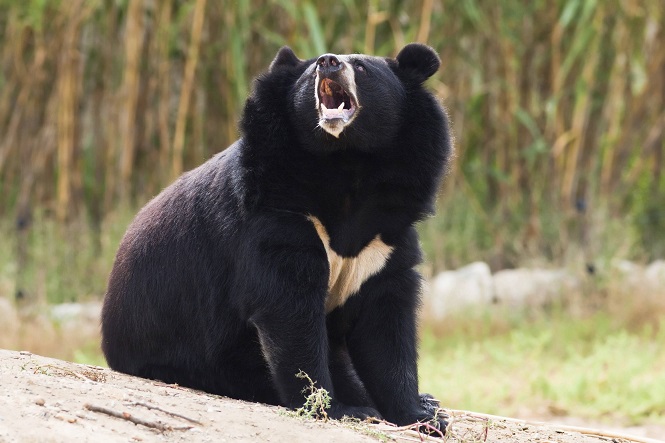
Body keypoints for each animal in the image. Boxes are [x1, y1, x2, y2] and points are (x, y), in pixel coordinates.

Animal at [102, 43, 452, 432]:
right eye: (311, 70)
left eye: (361, 67)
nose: (328, 62)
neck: (346, 163)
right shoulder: (276, 214)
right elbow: (289, 310)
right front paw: (339, 408)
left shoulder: (386, 239)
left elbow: (385, 325)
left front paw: (422, 416)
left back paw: (430, 400)